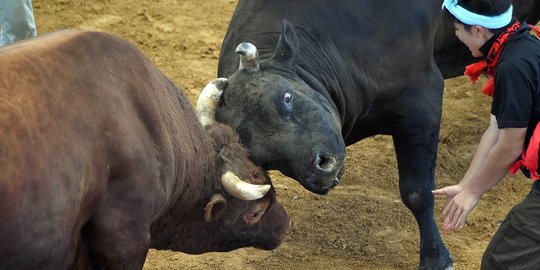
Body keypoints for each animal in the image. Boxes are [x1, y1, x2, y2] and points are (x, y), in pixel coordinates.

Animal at [213, 0, 540, 268]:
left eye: (287, 97)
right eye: (261, 157)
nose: (321, 169)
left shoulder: (422, 97)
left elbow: (417, 192)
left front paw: (435, 258)